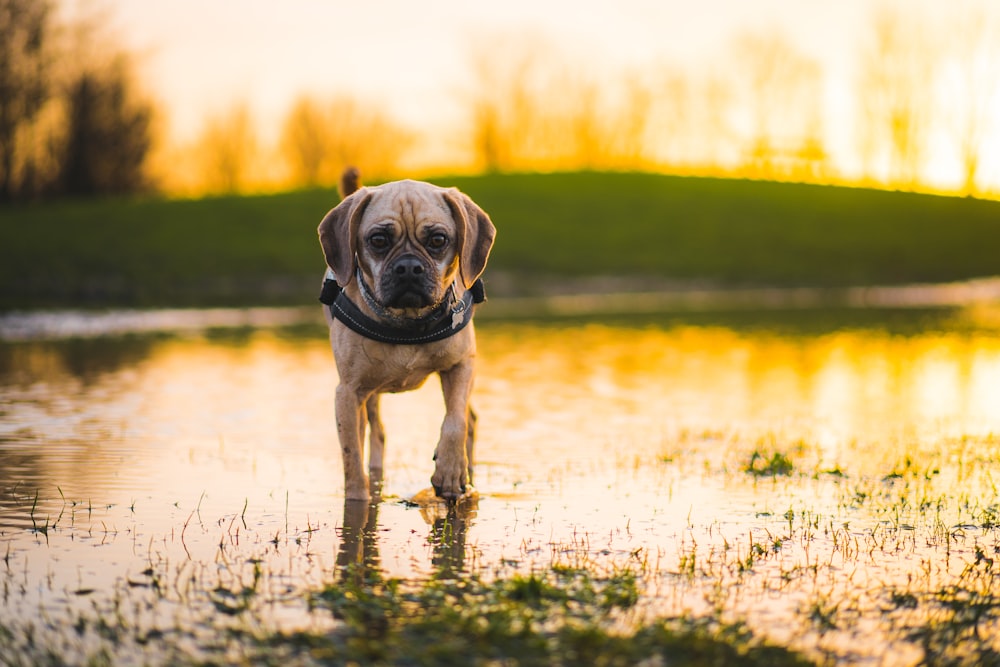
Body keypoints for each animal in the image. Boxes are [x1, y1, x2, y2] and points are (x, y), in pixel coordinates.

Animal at [318, 171, 494, 500]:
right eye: (378, 240)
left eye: (438, 240)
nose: (409, 267)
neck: (407, 323)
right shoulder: (347, 393)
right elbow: (352, 459)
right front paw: (358, 500)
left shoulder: (461, 365)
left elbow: (455, 421)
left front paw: (450, 471)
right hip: (367, 397)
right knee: (376, 434)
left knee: (471, 419)